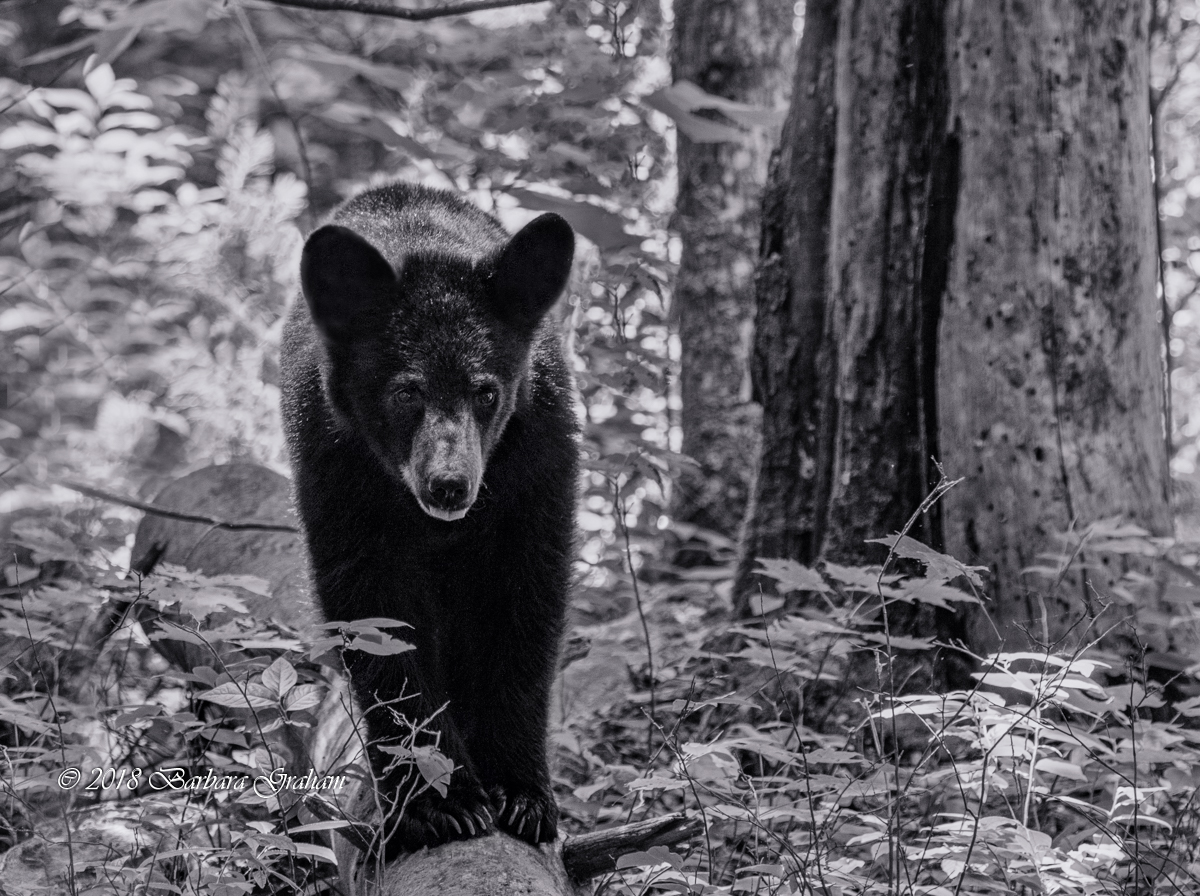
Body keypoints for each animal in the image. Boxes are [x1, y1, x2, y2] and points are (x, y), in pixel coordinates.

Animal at [279, 182, 577, 857]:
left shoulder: (537, 462)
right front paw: (441, 801)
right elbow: (379, 619)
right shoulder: (338, 469)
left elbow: (524, 608)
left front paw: (522, 794)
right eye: (406, 391)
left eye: (487, 391)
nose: (450, 485)